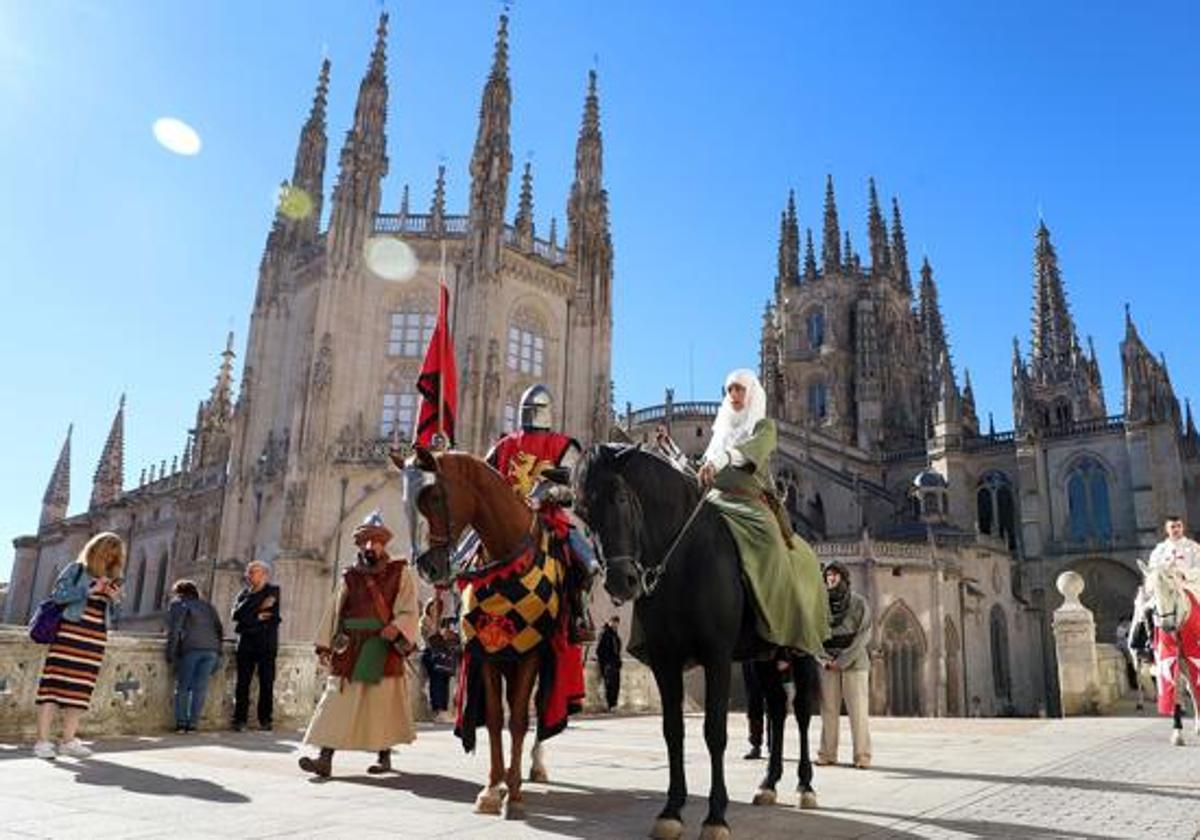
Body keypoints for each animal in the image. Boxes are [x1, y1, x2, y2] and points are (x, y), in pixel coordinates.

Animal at [396, 446, 578, 820]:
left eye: (434, 496)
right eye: (404, 501)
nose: (428, 568)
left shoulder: (529, 654)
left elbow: (520, 719)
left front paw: (516, 795)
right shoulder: (489, 654)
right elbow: (495, 720)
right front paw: (494, 789)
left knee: (540, 709)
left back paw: (534, 766)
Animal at [576, 444, 820, 835]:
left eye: (622, 498)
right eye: (582, 512)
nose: (620, 581)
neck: (685, 558)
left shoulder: (716, 656)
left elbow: (714, 732)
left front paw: (716, 816)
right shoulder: (664, 660)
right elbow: (672, 731)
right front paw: (671, 810)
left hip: (802, 651)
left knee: (801, 711)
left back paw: (805, 786)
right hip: (764, 657)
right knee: (778, 709)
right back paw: (769, 784)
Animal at [1132, 561, 1200, 744]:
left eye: (1171, 590)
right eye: (1151, 593)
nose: (1166, 626)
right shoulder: (1169, 662)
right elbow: (1176, 691)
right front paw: (1177, 733)